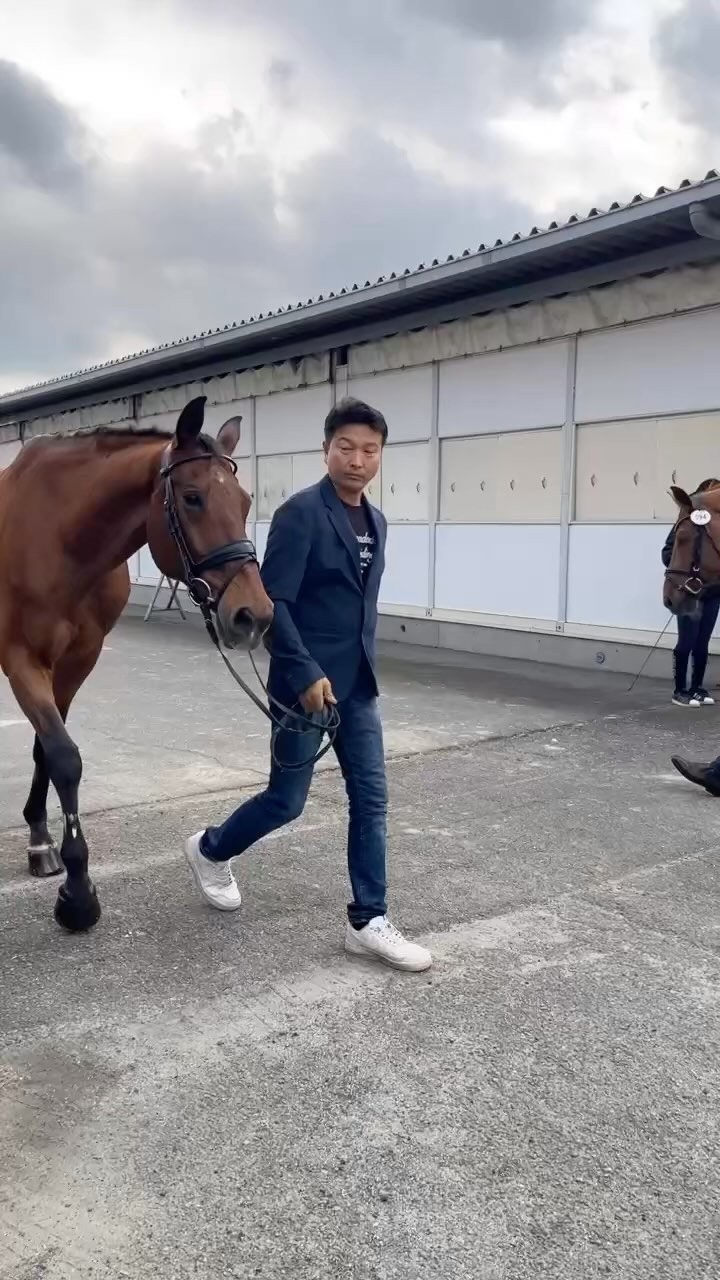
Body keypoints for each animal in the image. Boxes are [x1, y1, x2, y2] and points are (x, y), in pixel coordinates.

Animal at [0, 395, 274, 933]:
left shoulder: (76, 661)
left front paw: (43, 843)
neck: (56, 538)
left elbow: (48, 750)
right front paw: (78, 896)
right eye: (192, 497)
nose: (252, 615)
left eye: (245, 501)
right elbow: (64, 756)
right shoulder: (20, 657)